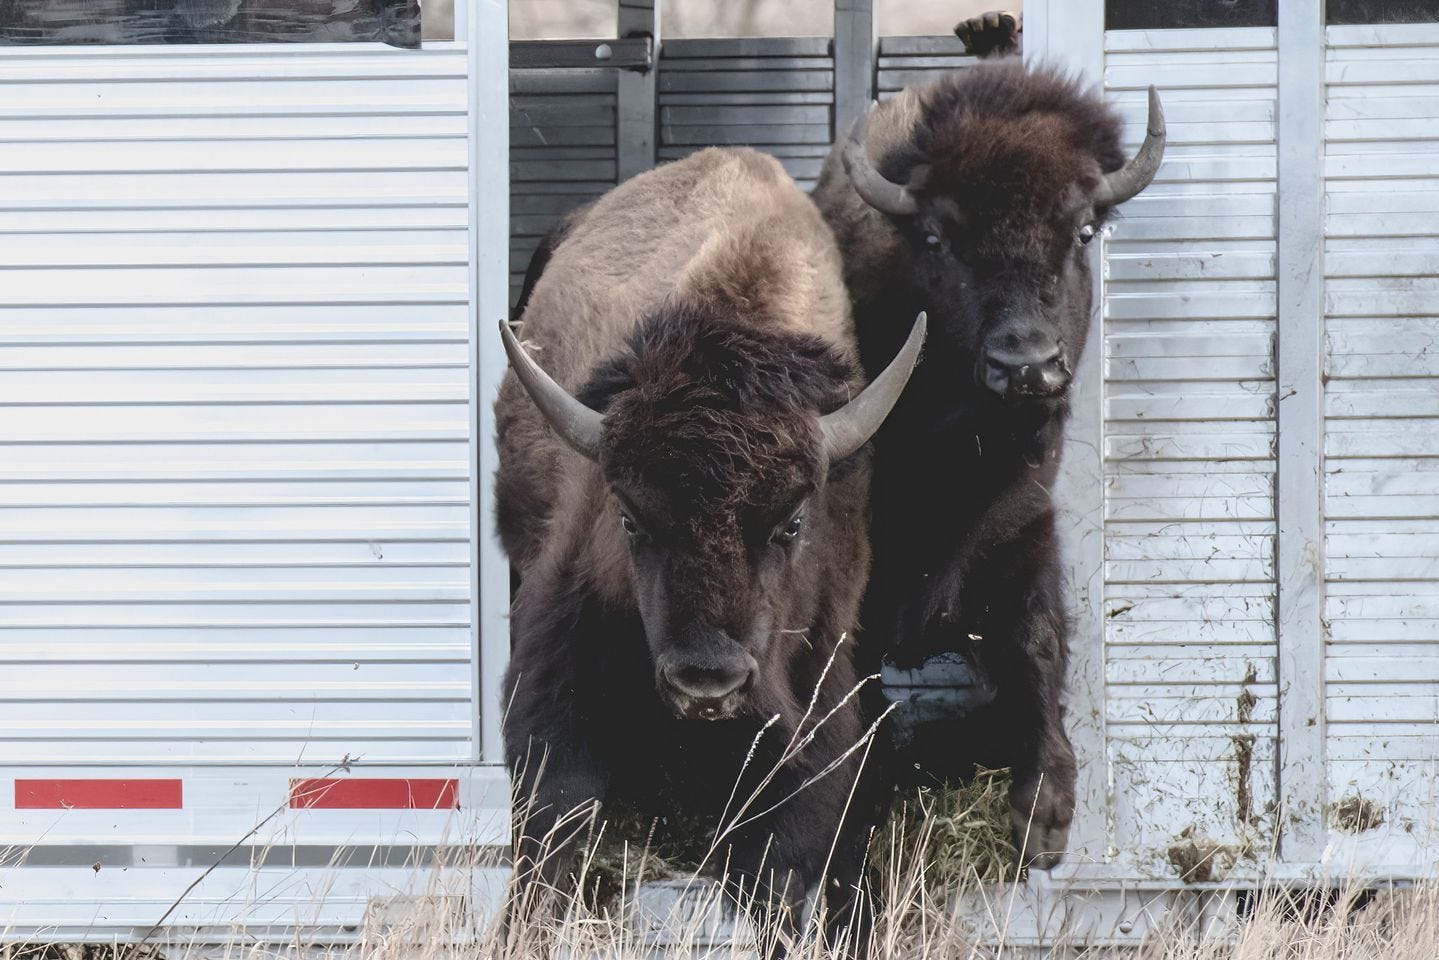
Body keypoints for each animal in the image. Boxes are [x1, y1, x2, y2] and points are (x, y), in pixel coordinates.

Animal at [495, 146, 920, 949]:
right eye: (630, 518)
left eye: (792, 522)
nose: (706, 683)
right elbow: (554, 834)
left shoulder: (819, 713)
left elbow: (779, 871)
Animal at [817, 61, 1162, 869]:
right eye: (938, 236)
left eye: (1083, 229)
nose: (1025, 364)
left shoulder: (1023, 522)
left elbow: (1036, 638)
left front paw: (1044, 820)